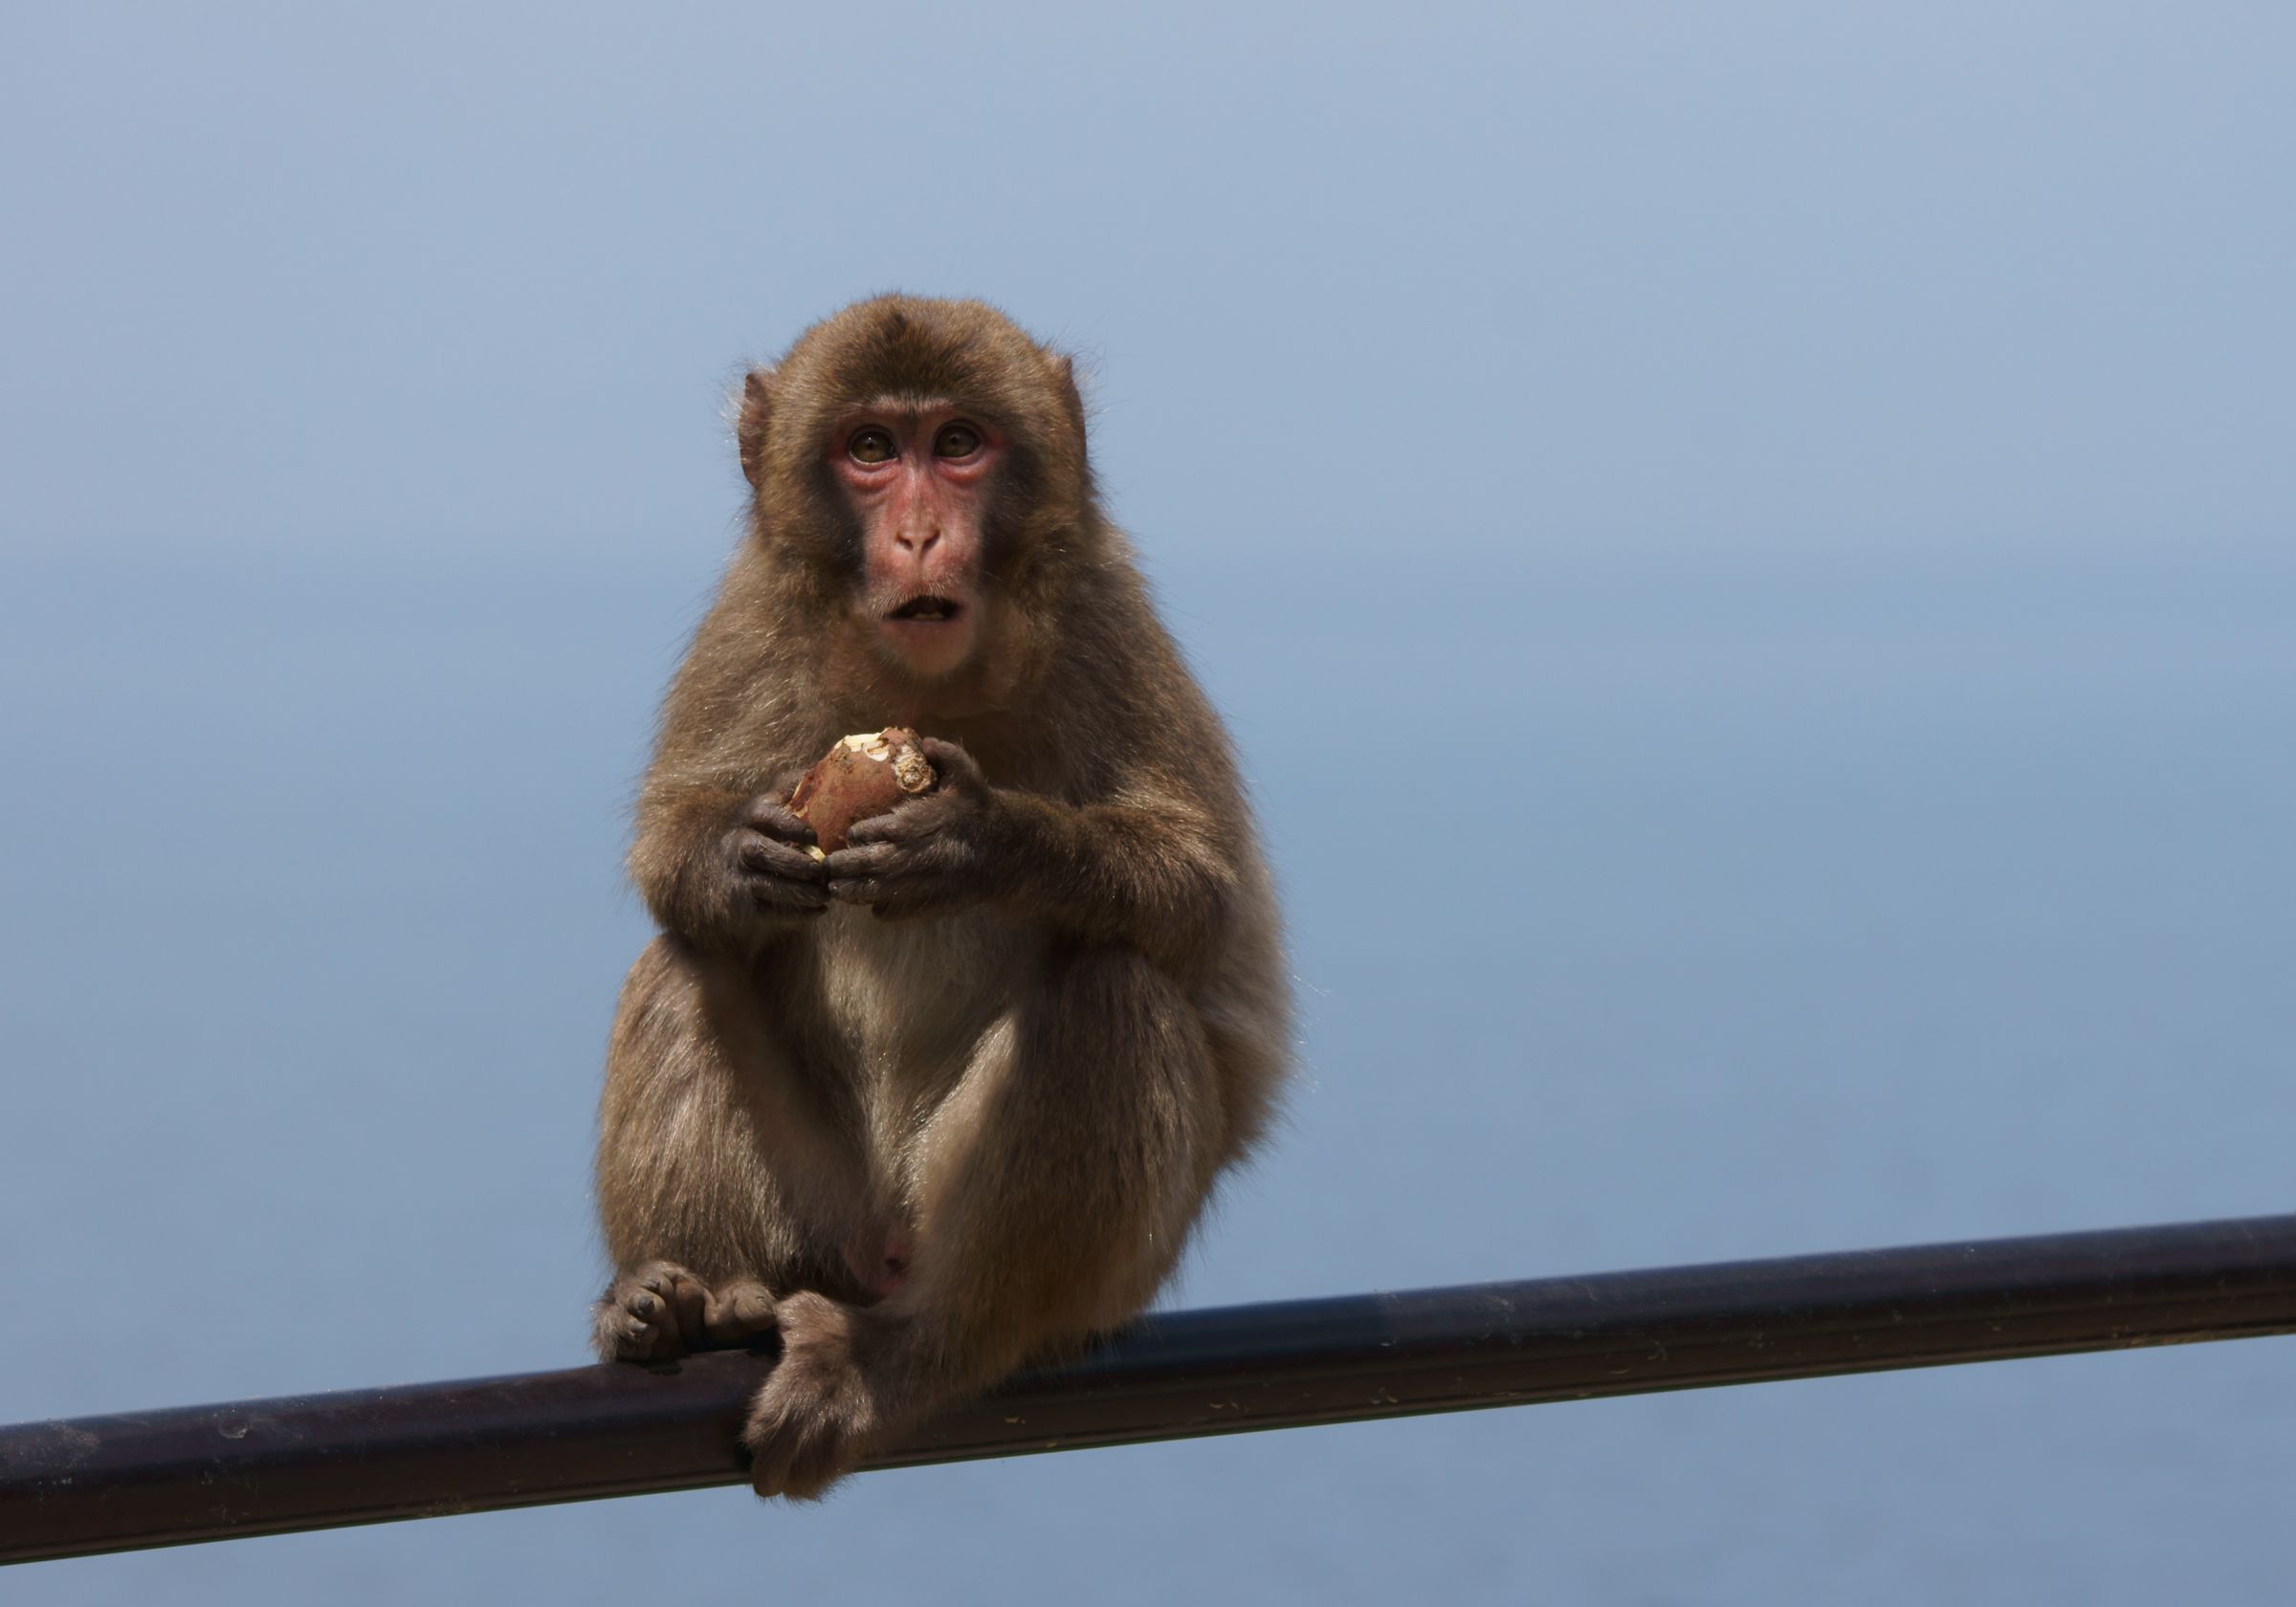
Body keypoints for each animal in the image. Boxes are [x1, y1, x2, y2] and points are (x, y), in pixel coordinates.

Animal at [590, 295, 1292, 1499]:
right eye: (871, 449)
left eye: (958, 444)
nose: (920, 533)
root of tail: (877, 1255)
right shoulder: (750, 624)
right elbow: (672, 857)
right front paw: (733, 857)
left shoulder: (1106, 622)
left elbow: (1202, 903)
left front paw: (978, 841)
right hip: (820, 1219)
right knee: (683, 961)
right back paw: (688, 1299)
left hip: (1020, 1249)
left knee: (1112, 992)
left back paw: (905, 1355)